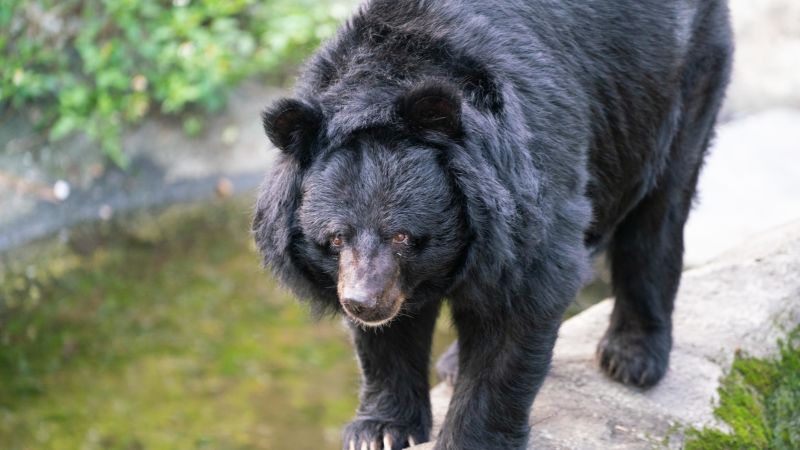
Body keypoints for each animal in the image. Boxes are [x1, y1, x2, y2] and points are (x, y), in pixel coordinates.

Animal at [255, 0, 732, 446]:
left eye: (404, 236)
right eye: (335, 239)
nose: (364, 303)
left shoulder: (528, 180)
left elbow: (522, 303)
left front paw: (468, 438)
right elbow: (387, 340)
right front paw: (380, 432)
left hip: (677, 81)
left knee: (658, 212)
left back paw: (632, 357)